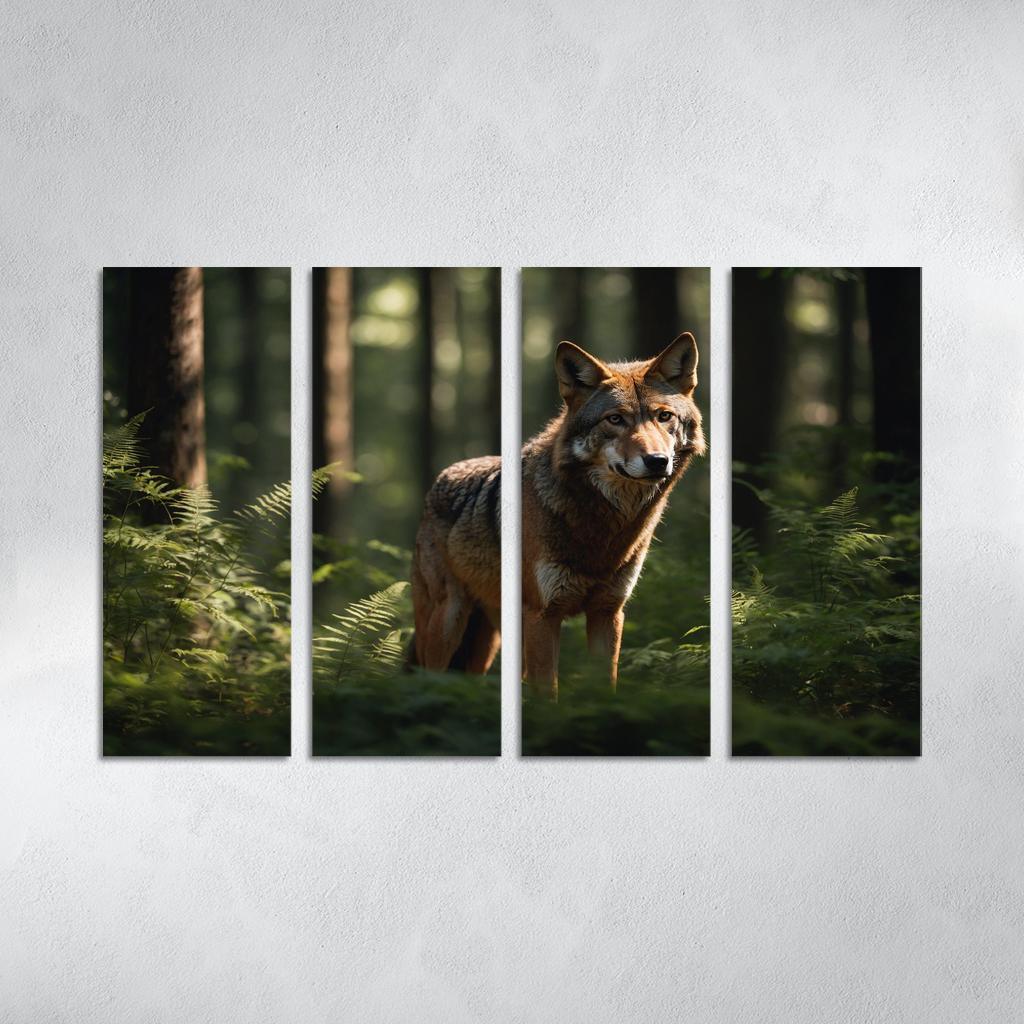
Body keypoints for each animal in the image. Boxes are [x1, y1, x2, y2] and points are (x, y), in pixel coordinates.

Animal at [409, 333, 704, 696]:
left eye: (664, 417)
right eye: (615, 419)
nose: (657, 461)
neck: (602, 531)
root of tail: (441, 478)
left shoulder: (608, 612)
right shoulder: (543, 615)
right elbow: (548, 692)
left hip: (487, 642)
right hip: (448, 623)